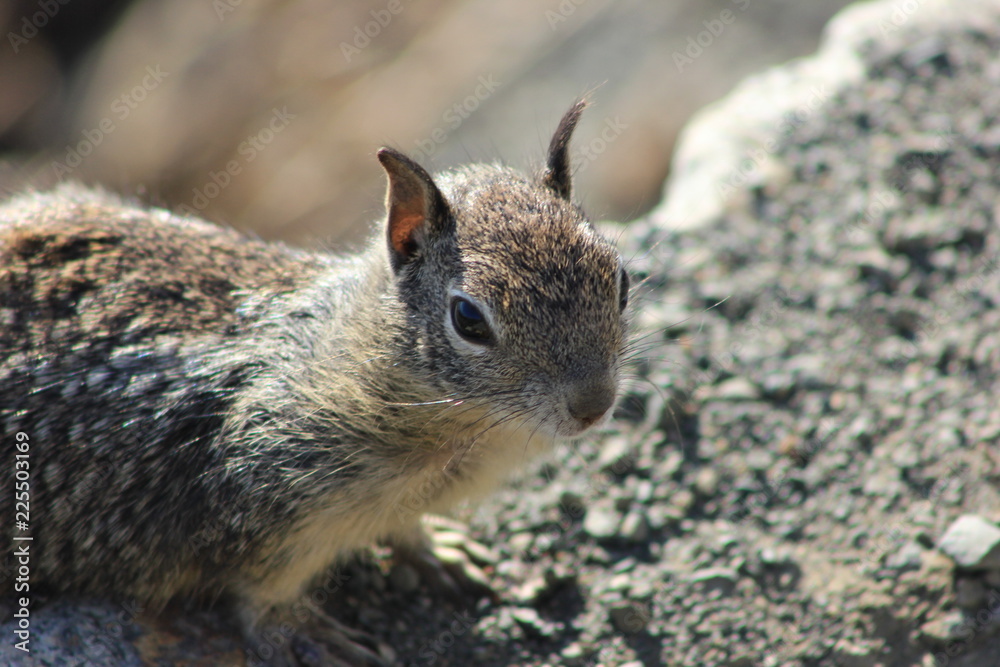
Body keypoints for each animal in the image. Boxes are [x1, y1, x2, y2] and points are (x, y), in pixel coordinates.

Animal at [0, 100, 630, 665]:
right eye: (468, 319)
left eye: (620, 279)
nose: (593, 405)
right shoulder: (261, 506)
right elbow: (260, 593)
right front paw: (301, 633)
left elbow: (406, 530)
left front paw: (440, 552)